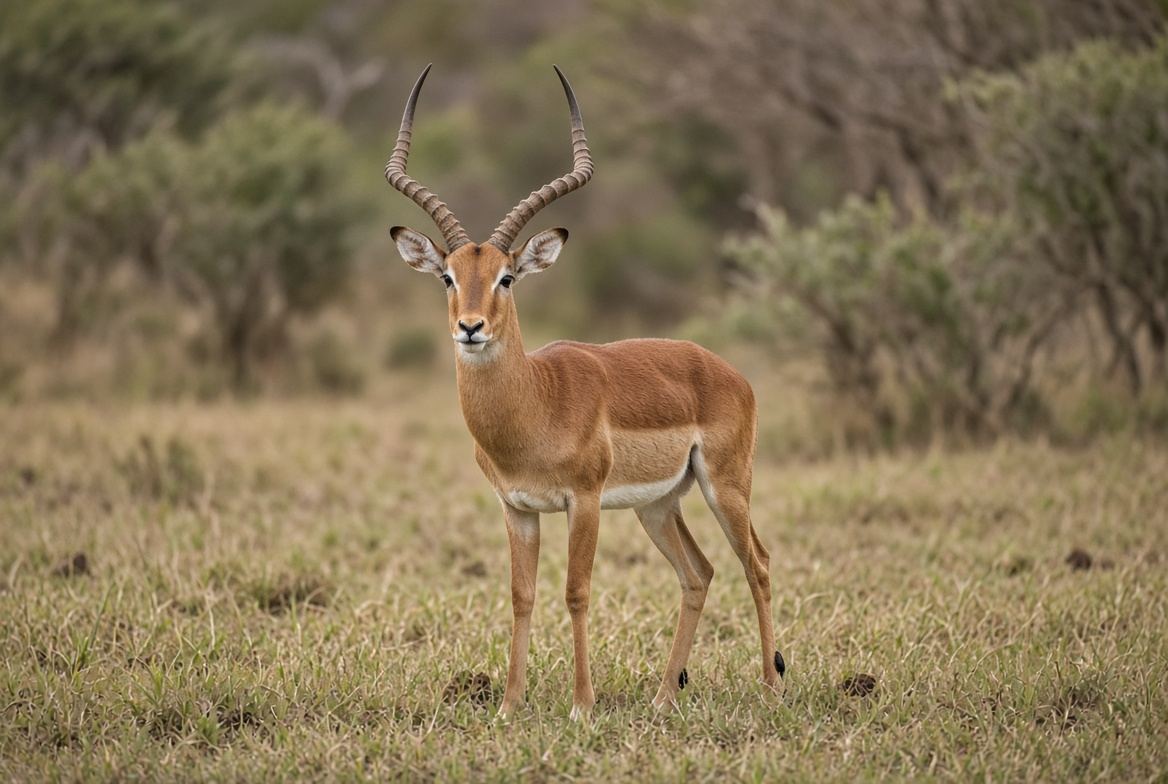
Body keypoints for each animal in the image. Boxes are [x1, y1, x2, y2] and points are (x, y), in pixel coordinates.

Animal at [386, 65, 784, 719]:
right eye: (448, 276)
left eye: (507, 277)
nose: (470, 327)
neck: (534, 406)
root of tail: (727, 371)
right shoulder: (518, 508)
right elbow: (521, 595)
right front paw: (509, 706)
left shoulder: (586, 501)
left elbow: (576, 592)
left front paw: (581, 706)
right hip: (659, 504)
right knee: (698, 573)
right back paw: (662, 697)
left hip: (725, 486)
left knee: (757, 563)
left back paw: (772, 687)